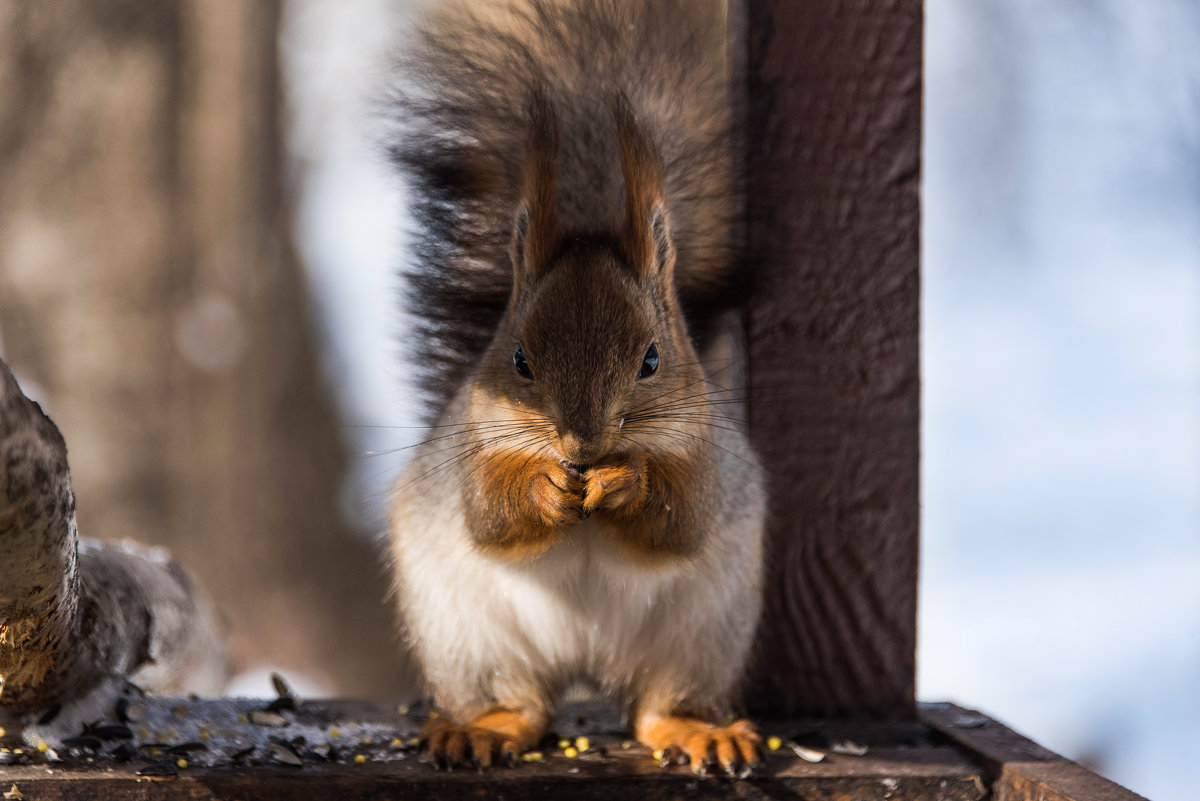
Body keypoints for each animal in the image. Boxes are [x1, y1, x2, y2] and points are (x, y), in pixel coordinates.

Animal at [391, 0, 768, 777]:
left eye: (652, 360)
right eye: (520, 359)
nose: (582, 444)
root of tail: (587, 664)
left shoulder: (709, 456)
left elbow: (681, 517)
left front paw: (624, 481)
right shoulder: (472, 448)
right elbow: (489, 514)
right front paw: (544, 486)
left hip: (704, 634)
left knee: (657, 706)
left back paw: (700, 731)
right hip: (466, 637)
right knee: (518, 703)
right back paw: (483, 728)